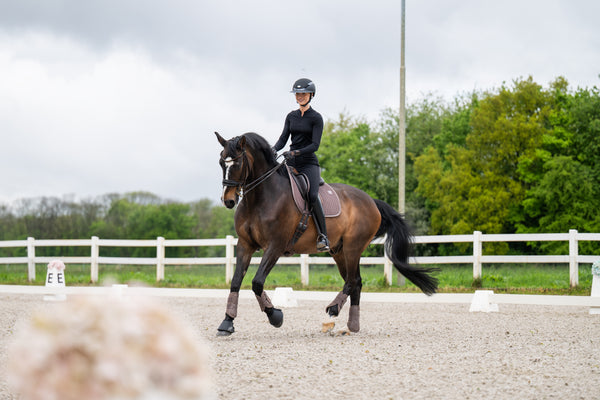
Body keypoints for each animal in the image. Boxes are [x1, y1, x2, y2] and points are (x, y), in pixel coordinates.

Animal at [213, 131, 438, 334]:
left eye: (237, 164)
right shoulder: (245, 245)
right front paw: (227, 322)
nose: (229, 201)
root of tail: (371, 201)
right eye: (222, 163)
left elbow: (257, 282)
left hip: (353, 247)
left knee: (353, 281)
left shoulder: (275, 246)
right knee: (355, 282)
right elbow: (236, 282)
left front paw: (275, 316)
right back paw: (352, 325)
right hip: (339, 251)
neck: (260, 199)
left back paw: (334, 309)